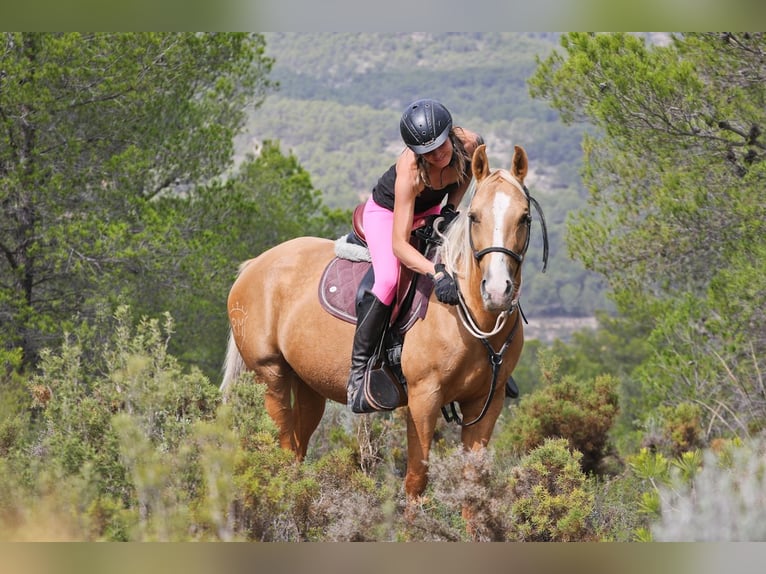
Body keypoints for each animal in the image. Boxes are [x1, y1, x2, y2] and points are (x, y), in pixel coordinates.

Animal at [222, 145, 544, 504]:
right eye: (474, 217)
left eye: (525, 217)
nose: (497, 290)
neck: (470, 314)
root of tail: (254, 265)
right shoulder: (424, 398)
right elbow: (416, 479)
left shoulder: (488, 401)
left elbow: (473, 487)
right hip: (271, 376)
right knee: (281, 449)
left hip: (307, 384)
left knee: (296, 452)